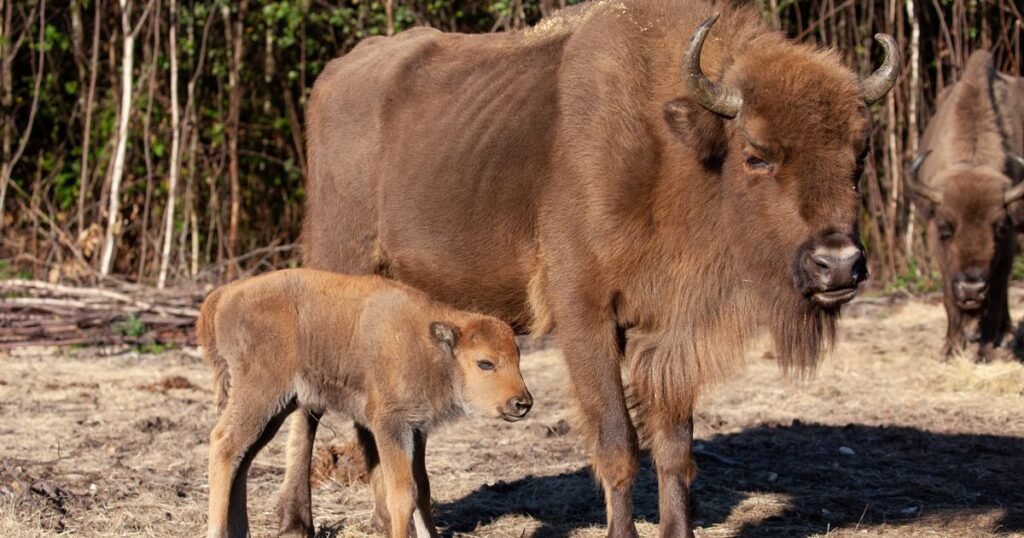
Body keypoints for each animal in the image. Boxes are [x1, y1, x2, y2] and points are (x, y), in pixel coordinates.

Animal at [288, 1, 899, 537]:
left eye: (860, 153)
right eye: (756, 154)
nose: (838, 265)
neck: (669, 148)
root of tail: (334, 77)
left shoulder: (666, 332)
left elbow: (674, 447)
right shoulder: (586, 316)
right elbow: (617, 442)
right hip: (332, 267)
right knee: (309, 404)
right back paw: (298, 521)